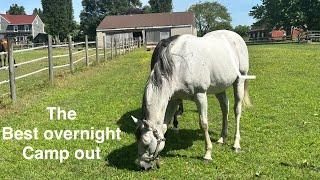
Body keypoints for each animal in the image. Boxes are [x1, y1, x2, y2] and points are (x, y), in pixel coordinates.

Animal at [131, 29, 256, 170]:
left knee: (237, 110)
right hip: (220, 87)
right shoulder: (175, 99)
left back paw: (236, 144)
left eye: (146, 142)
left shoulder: (200, 96)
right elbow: (165, 124)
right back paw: (222, 138)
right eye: (136, 139)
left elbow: (204, 124)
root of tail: (236, 37)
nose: (142, 165)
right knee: (225, 108)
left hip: (240, 80)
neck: (180, 64)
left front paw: (207, 154)